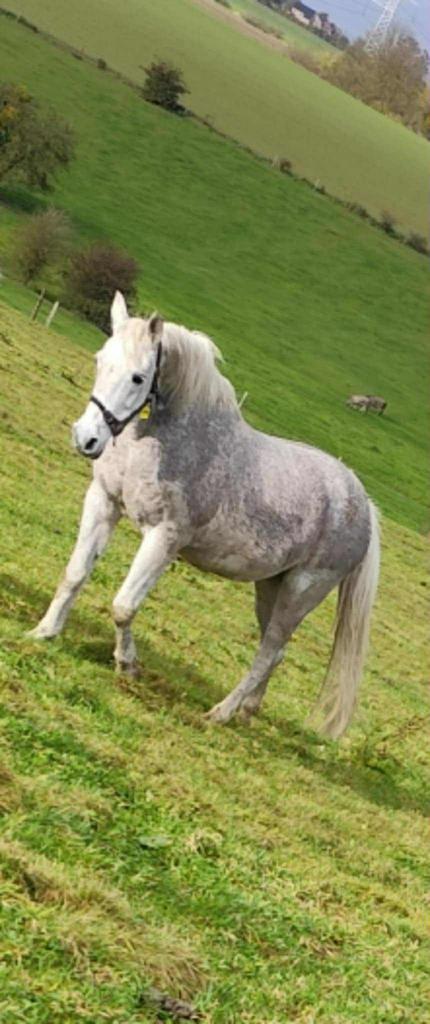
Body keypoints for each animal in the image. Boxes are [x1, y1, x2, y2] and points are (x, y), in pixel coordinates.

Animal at [30, 292, 380, 739]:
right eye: (100, 360)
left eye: (138, 378)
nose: (87, 438)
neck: (167, 441)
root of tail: (361, 502)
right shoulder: (103, 503)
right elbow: (74, 574)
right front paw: (44, 632)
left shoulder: (163, 537)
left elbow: (124, 606)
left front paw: (128, 665)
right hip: (271, 586)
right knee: (276, 651)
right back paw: (247, 712)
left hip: (303, 590)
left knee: (269, 651)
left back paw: (221, 713)